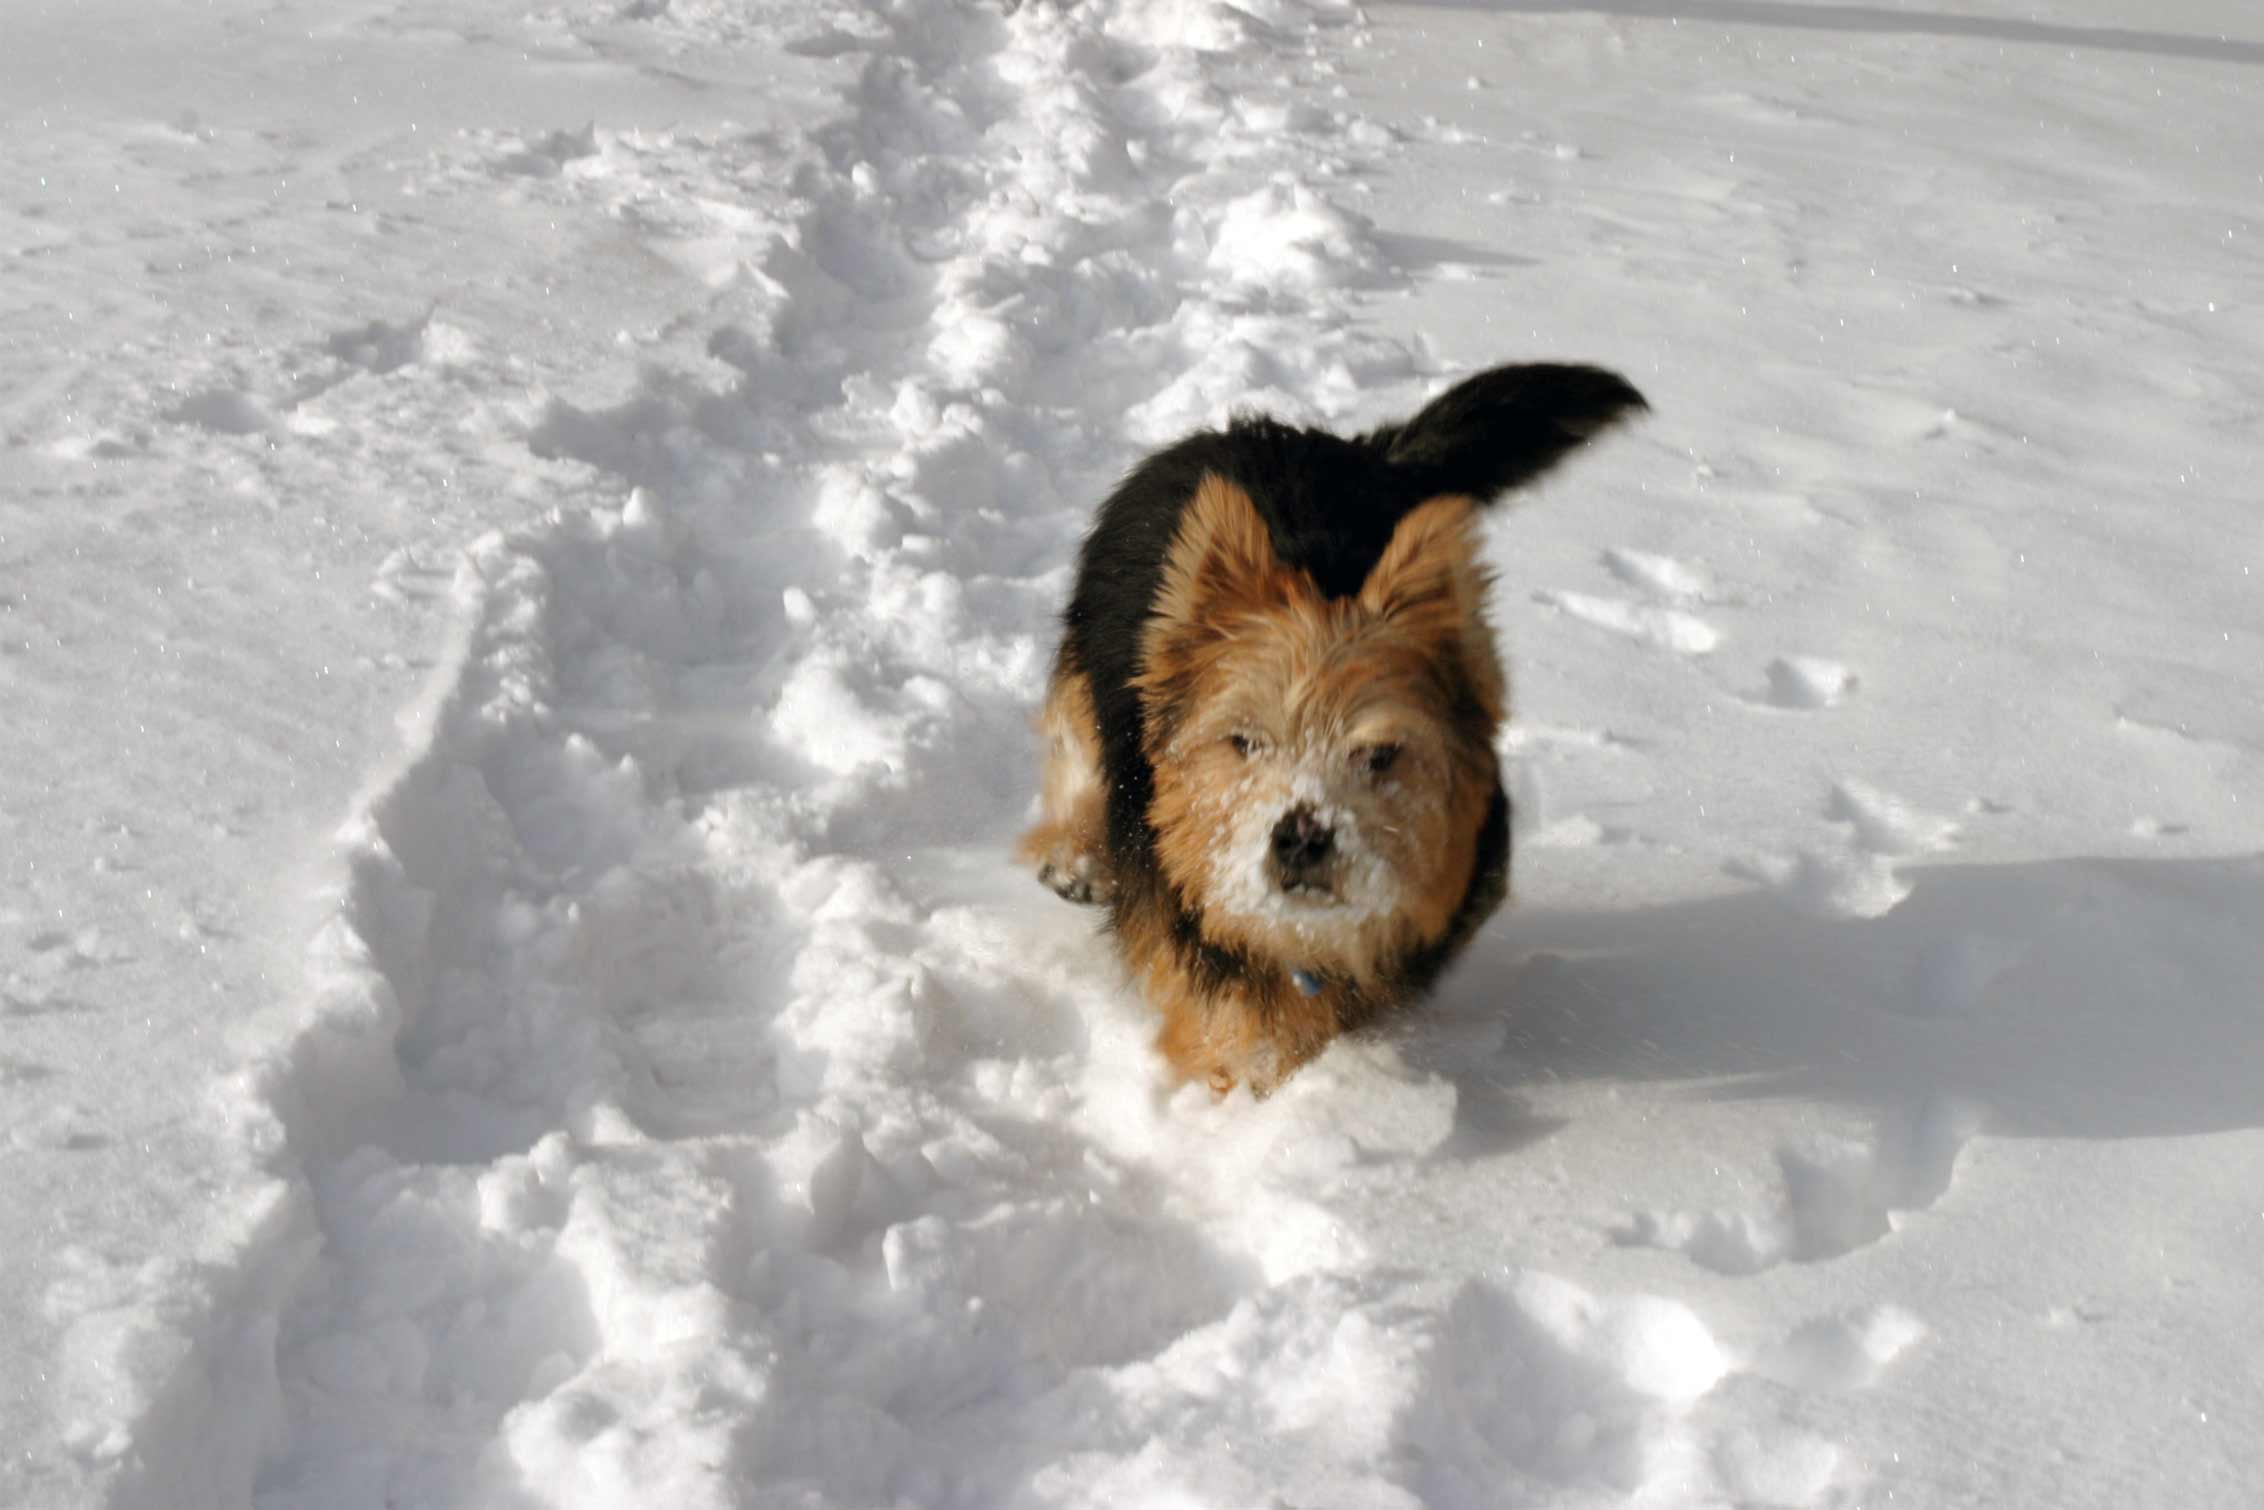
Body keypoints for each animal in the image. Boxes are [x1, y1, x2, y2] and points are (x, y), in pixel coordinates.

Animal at [1023, 366, 1648, 1100]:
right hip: (1089, 649)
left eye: (1380, 754)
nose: (1301, 837)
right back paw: (1073, 854)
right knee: (1075, 736)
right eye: (1244, 742)